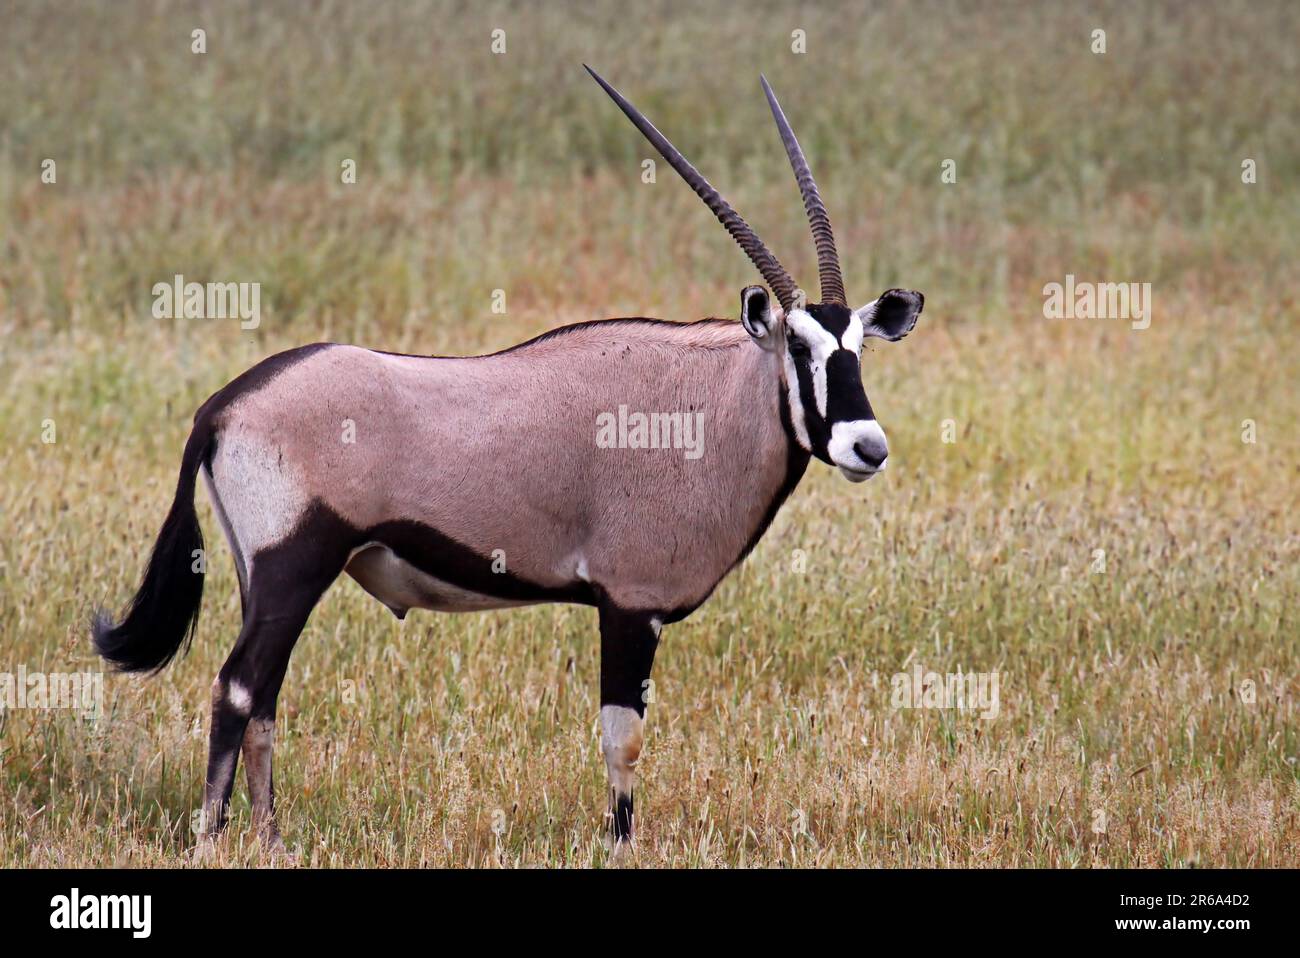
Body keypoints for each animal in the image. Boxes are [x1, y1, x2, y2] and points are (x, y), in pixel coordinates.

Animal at [94, 65, 925, 842]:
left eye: (857, 347)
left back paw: (270, 838)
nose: (866, 445)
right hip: (292, 566)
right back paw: (214, 837)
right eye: (798, 346)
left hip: (268, 581)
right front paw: (620, 843)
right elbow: (623, 742)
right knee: (238, 689)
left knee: (262, 696)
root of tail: (223, 406)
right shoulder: (631, 607)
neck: (704, 405)